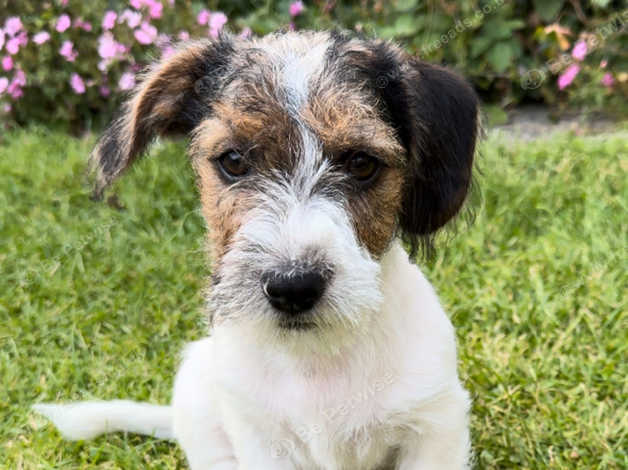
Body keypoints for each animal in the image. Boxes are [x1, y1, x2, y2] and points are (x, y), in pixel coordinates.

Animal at [34, 30, 478, 470]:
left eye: (361, 163)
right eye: (233, 160)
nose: (293, 286)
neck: (316, 359)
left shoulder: (436, 425)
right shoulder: (261, 439)